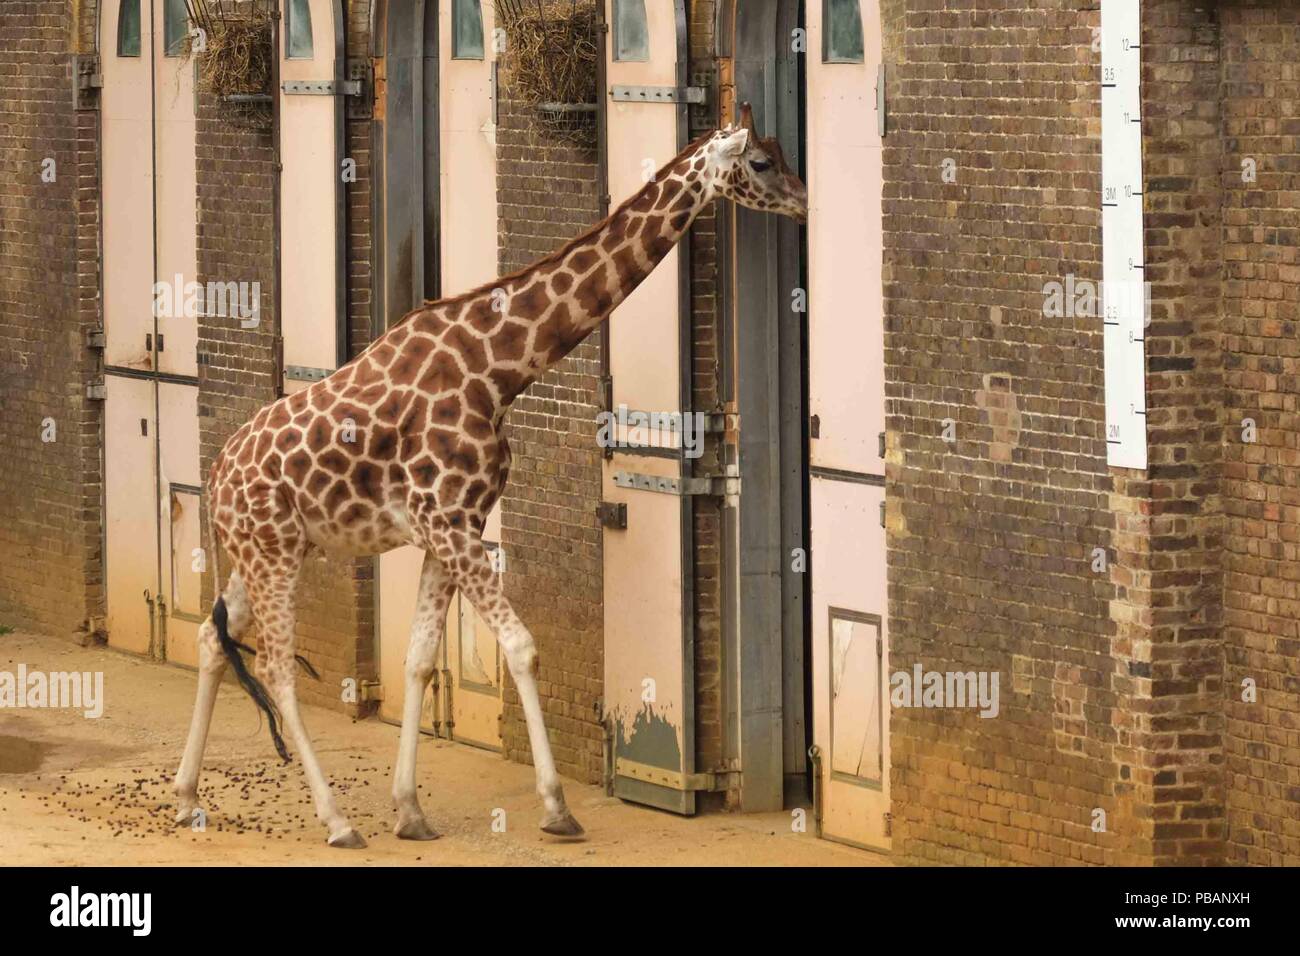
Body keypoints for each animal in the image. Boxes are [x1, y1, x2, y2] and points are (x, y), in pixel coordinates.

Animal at [173, 104, 808, 848]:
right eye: (762, 162)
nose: (806, 200)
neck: (499, 367)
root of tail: (216, 476)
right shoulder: (450, 524)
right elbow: (522, 648)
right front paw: (557, 809)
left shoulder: (452, 527)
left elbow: (420, 659)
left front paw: (411, 810)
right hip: (273, 554)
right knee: (275, 665)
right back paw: (335, 820)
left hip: (261, 553)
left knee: (211, 639)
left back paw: (187, 796)